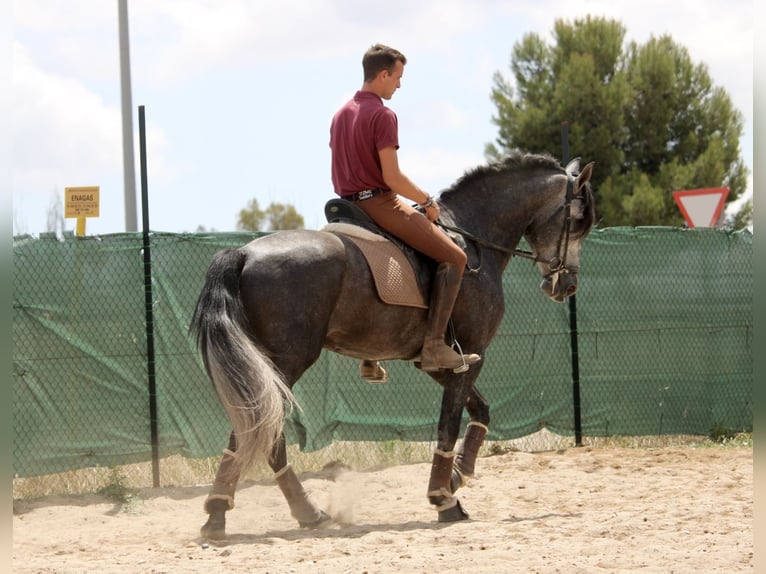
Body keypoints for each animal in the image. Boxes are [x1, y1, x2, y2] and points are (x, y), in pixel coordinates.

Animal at [189, 150, 596, 540]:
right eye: (577, 222)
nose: (568, 286)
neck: (475, 237)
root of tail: (244, 253)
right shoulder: (471, 354)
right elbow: (448, 425)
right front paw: (444, 499)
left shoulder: (442, 362)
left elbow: (480, 411)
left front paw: (457, 476)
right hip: (284, 364)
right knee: (259, 431)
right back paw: (231, 512)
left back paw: (287, 513)